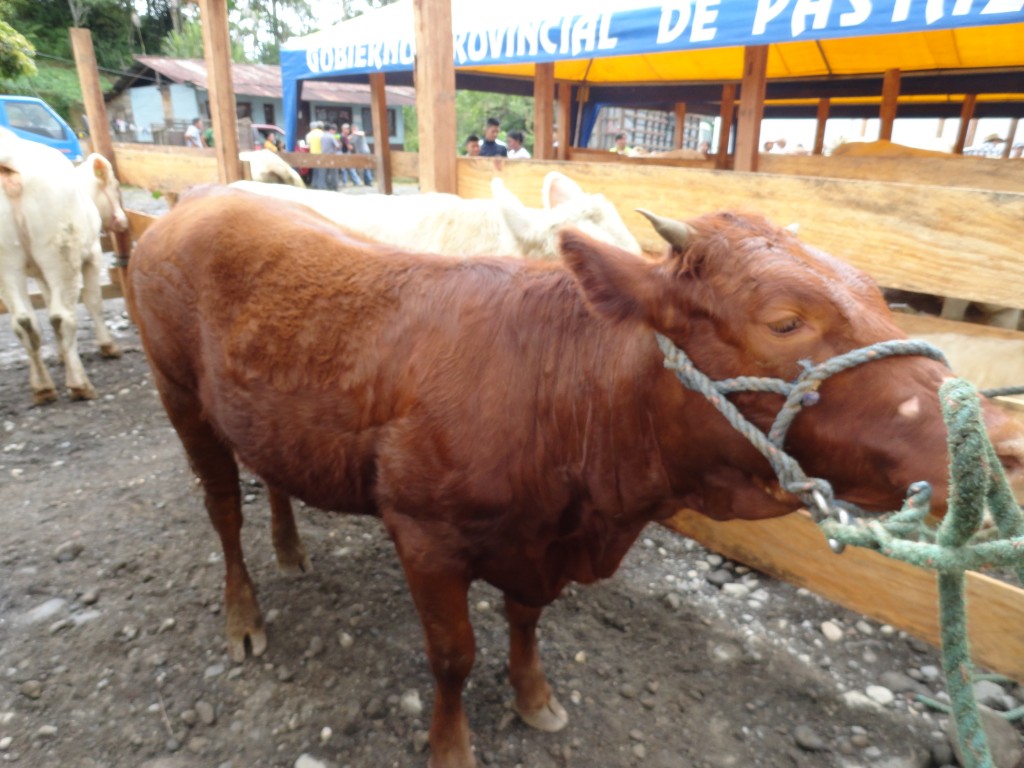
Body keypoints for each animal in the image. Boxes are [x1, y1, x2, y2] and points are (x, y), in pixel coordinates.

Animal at [0, 128, 128, 403]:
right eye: (115, 187)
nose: (123, 222)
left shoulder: (40, 272)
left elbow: (48, 302)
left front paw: (61, 354)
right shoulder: (92, 254)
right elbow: (93, 301)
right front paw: (107, 345)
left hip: (9, 262)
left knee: (24, 321)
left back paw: (43, 386)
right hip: (62, 253)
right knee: (61, 316)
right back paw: (79, 384)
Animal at [125, 186, 1015, 768]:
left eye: (878, 296)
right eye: (785, 321)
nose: (1002, 440)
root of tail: (196, 200)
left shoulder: (540, 541)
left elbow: (525, 622)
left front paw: (533, 697)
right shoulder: (424, 535)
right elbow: (452, 655)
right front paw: (453, 748)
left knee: (270, 475)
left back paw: (290, 548)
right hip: (179, 396)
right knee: (222, 510)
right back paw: (244, 614)